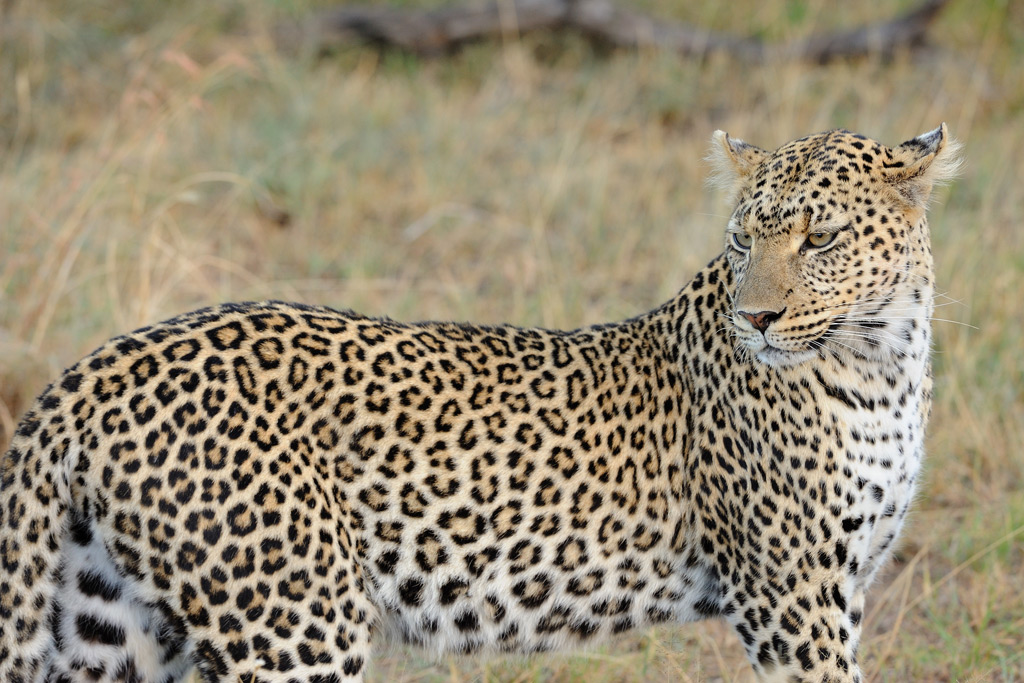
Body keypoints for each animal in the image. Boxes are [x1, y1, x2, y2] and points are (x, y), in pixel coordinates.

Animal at [0, 125, 959, 683]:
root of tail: (90, 369)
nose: (755, 316)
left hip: (110, 623)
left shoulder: (844, 586)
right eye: (740, 240)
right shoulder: (791, 595)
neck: (882, 363)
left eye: (820, 237)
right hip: (294, 624)